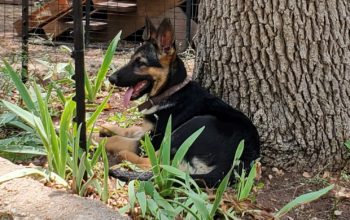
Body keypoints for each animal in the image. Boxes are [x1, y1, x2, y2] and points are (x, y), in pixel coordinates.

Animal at [98, 17, 260, 187]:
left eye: (140, 63)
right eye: (131, 60)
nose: (111, 78)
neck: (171, 91)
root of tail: (238, 162)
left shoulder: (153, 140)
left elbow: (118, 139)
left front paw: (96, 139)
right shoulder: (148, 131)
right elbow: (132, 129)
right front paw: (106, 128)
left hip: (194, 126)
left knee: (158, 162)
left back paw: (123, 156)